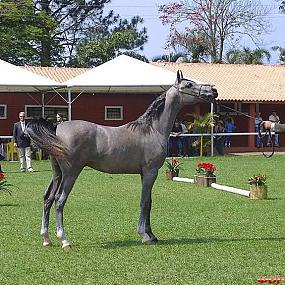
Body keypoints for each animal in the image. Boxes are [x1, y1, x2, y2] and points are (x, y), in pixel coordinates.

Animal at [25, 70, 216, 247]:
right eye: (189, 84)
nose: (213, 90)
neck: (152, 129)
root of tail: (56, 127)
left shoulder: (145, 174)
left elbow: (149, 202)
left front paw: (152, 234)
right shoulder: (150, 172)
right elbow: (144, 202)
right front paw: (144, 235)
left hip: (57, 173)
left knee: (48, 198)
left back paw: (46, 239)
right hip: (71, 173)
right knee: (59, 200)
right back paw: (64, 240)